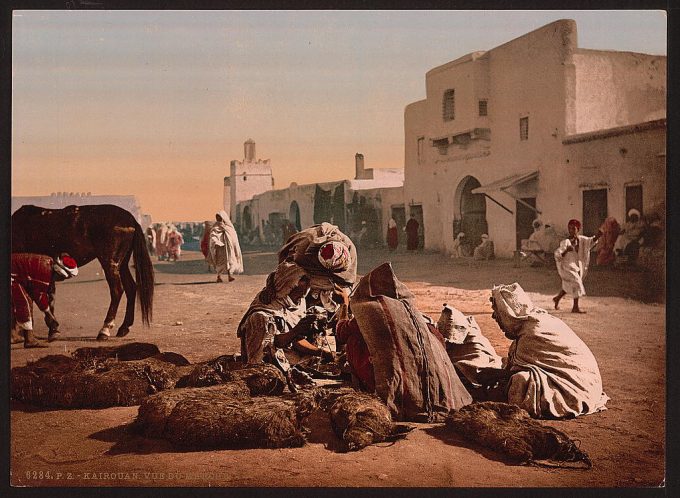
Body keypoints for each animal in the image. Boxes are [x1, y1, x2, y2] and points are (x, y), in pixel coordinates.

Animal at [11, 204, 155, 340]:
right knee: (131, 288)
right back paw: (124, 327)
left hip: (109, 262)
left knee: (117, 290)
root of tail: (131, 219)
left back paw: (105, 330)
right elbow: (48, 298)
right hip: (122, 264)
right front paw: (50, 330)